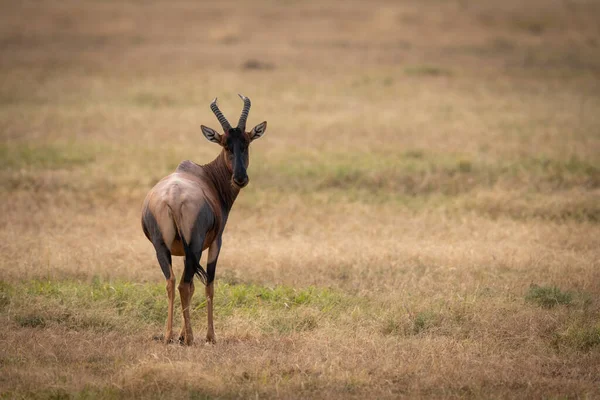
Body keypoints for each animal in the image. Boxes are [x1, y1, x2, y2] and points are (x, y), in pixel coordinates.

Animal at [141, 94, 268, 344]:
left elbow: (190, 286)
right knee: (184, 284)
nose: (240, 178)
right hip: (196, 244)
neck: (205, 175)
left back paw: (169, 336)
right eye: (225, 144)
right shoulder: (215, 242)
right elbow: (209, 285)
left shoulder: (182, 251)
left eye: (246, 142)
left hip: (161, 246)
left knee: (172, 282)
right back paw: (190, 338)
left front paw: (181, 334)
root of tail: (172, 198)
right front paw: (210, 336)